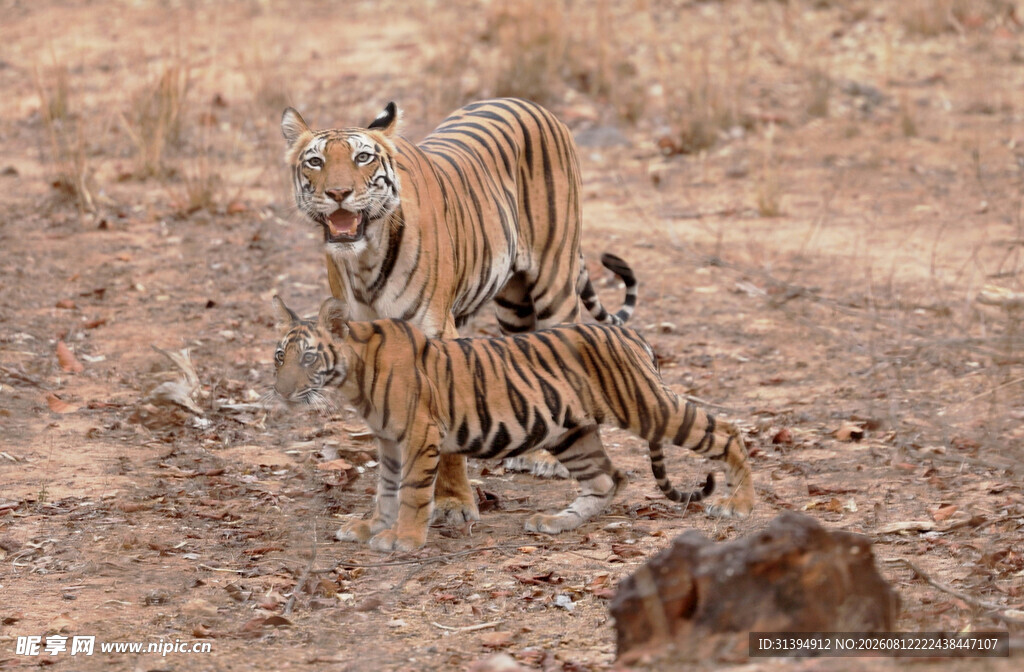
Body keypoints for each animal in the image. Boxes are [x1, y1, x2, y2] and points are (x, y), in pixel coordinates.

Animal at [270, 296, 755, 552]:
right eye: (280, 356)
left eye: (308, 357)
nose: (281, 391)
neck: (354, 376)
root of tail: (631, 334)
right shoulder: (389, 442)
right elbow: (385, 490)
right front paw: (371, 526)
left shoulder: (420, 436)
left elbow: (411, 492)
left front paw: (404, 538)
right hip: (571, 433)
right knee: (608, 479)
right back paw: (556, 521)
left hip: (648, 407)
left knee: (728, 431)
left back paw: (739, 505)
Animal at [281, 98, 639, 525]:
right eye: (315, 161)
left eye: (362, 157)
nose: (338, 193)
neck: (364, 261)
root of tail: (528, 103)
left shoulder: (434, 335)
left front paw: (452, 503)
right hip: (514, 305)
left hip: (555, 282)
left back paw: (549, 462)